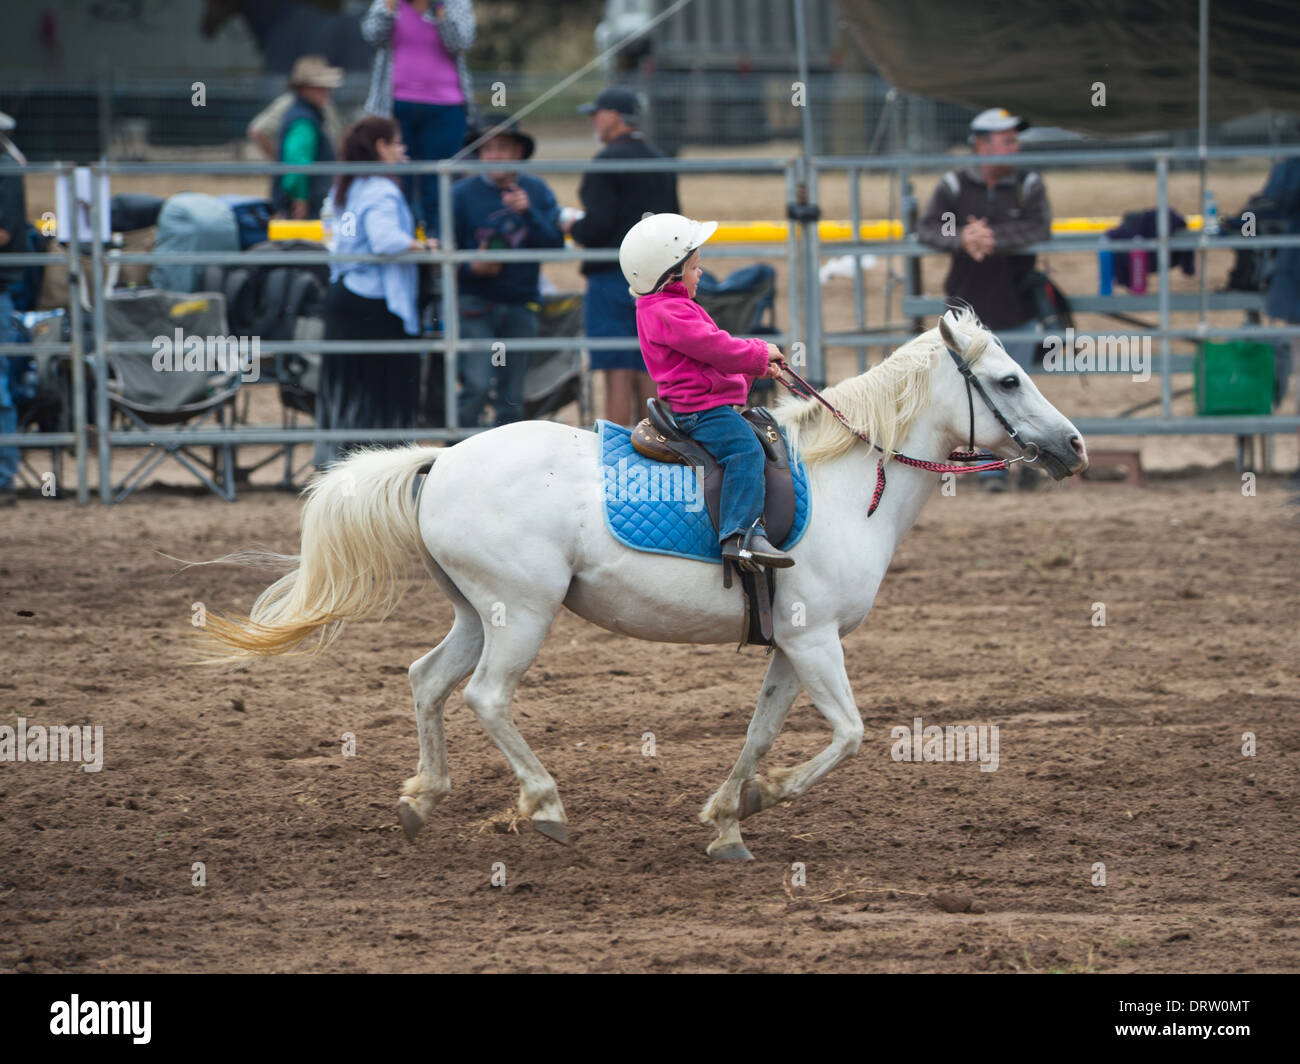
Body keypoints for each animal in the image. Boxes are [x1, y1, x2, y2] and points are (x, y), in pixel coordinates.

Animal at [208, 310, 1086, 858]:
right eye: (1009, 380)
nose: (1075, 445)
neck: (844, 484)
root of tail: (443, 459)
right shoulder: (815, 642)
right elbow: (848, 736)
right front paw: (762, 799)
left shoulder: (790, 645)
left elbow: (760, 732)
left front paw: (727, 818)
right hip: (522, 614)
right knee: (485, 696)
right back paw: (545, 804)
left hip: (478, 612)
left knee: (427, 681)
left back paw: (422, 798)